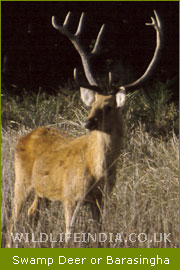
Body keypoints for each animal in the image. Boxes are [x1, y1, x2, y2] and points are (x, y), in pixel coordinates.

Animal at [9, 10, 162, 238]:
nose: (87, 122)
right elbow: (69, 233)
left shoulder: (100, 199)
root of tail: (25, 136)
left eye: (109, 106)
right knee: (13, 220)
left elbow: (99, 233)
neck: (98, 170)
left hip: (42, 193)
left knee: (32, 214)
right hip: (21, 180)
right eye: (92, 105)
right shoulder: (70, 195)